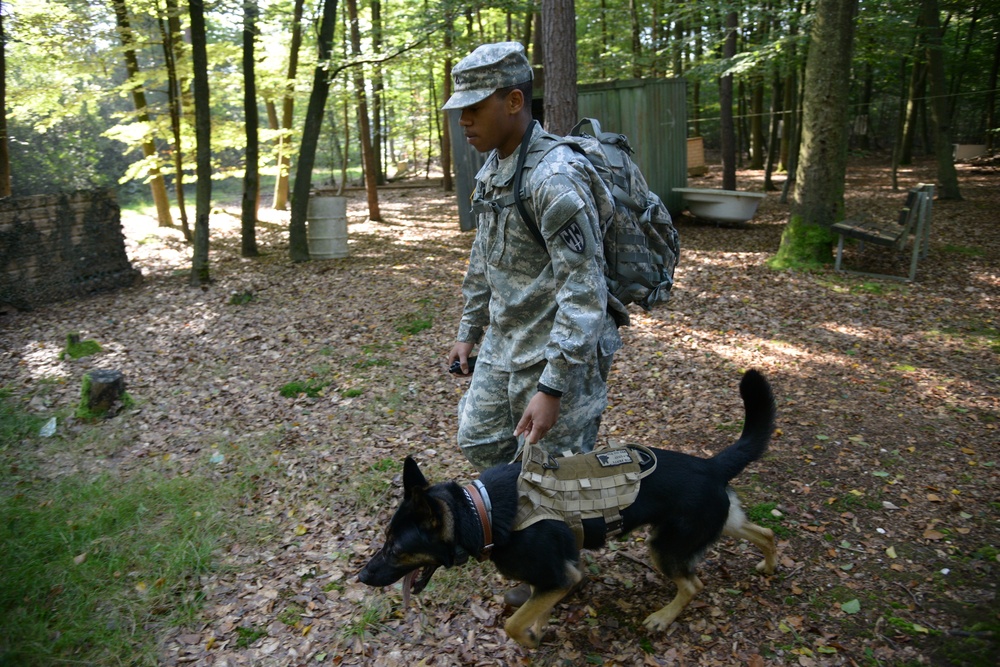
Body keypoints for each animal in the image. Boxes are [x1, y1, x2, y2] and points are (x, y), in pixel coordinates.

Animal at [360, 368, 780, 648]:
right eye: (385, 540)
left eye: (395, 548)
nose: (361, 577)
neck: (481, 513)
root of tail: (712, 465)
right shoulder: (554, 578)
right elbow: (533, 610)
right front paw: (539, 629)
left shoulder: (561, 577)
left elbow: (514, 625)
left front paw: (531, 642)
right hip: (716, 523)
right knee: (765, 532)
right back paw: (768, 566)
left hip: (665, 547)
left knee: (693, 584)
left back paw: (662, 618)